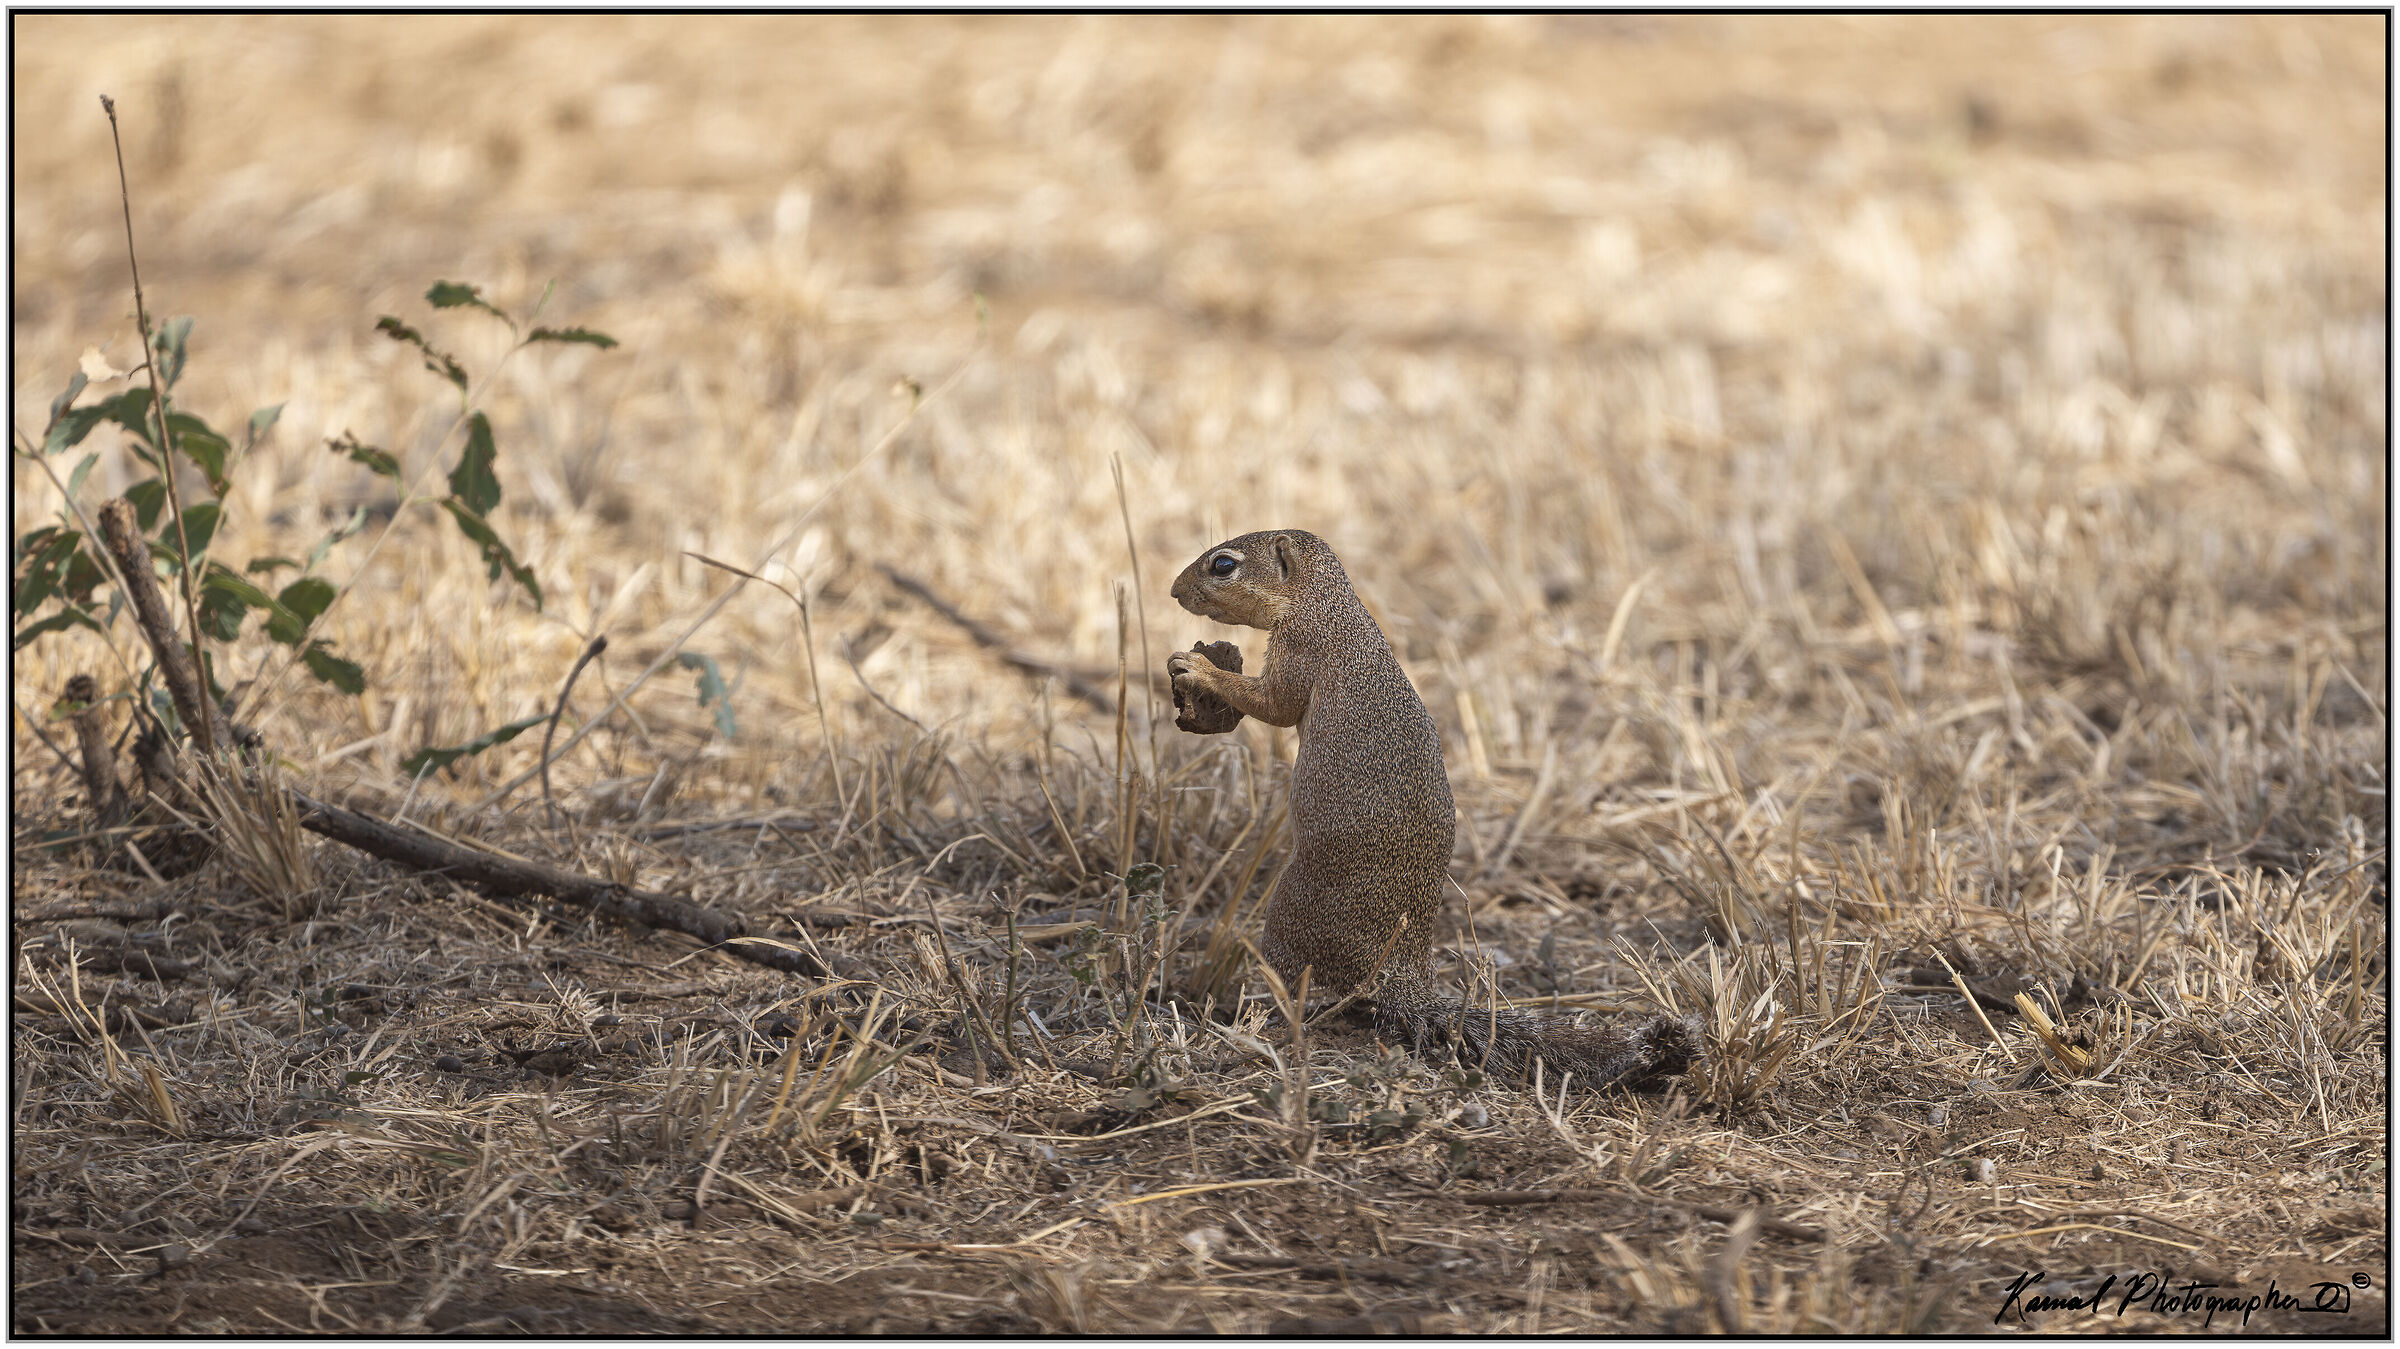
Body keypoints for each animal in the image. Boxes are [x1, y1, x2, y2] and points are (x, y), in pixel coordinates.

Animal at [1167, 528, 1702, 1092]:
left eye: (1223, 565)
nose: (1175, 591)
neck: (1327, 605)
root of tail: (1406, 973)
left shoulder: (1301, 651)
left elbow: (1274, 704)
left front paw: (1198, 668)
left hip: (1290, 912)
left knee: (1295, 980)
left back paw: (1253, 1013)